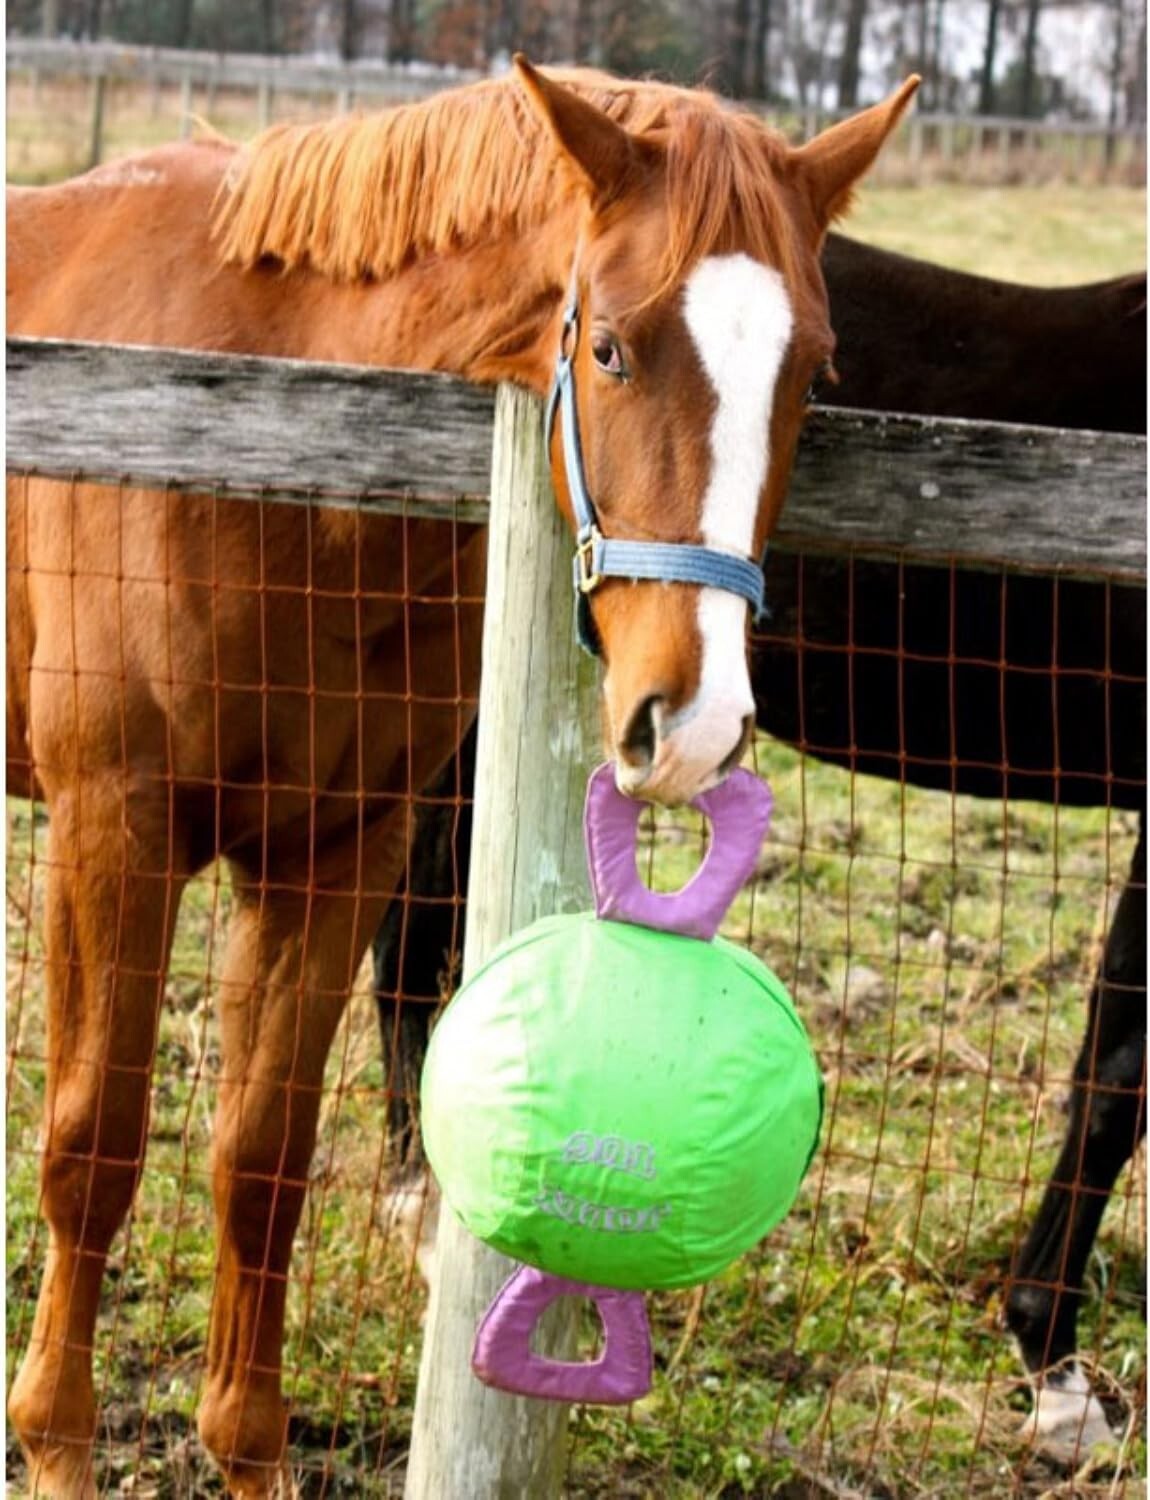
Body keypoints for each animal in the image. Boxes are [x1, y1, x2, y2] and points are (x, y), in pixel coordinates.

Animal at [5, 61, 918, 1496]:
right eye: (610, 347)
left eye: (812, 371)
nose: (695, 720)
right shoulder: (114, 834)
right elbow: (93, 1146)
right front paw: (54, 1446)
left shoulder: (337, 853)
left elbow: (262, 1159)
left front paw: (246, 1450)